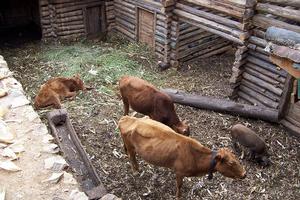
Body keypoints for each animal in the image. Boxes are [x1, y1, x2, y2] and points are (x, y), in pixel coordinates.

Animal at [118, 115, 247, 198]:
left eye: (237, 159)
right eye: (231, 163)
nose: (244, 174)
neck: (195, 157)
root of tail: (127, 118)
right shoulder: (179, 172)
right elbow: (179, 186)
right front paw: (179, 196)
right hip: (130, 147)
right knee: (132, 157)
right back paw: (136, 171)